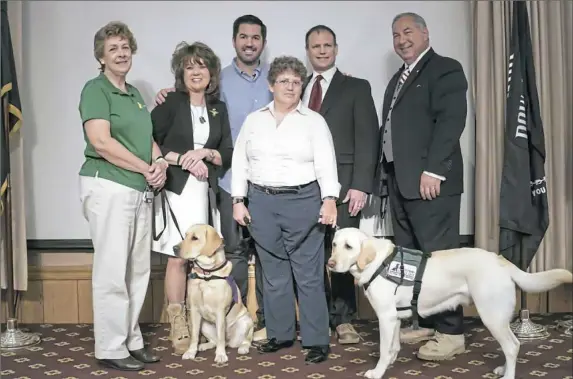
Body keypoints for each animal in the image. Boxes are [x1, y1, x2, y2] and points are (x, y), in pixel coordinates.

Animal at [173, 224, 254, 364]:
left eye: (195, 238)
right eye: (185, 235)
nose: (174, 248)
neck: (206, 274)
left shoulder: (220, 312)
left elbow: (221, 336)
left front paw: (221, 355)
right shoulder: (194, 310)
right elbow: (194, 335)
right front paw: (191, 352)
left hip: (245, 322)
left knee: (243, 341)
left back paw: (243, 348)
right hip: (205, 324)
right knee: (215, 341)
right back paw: (204, 345)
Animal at [326, 229, 572, 379]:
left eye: (349, 247)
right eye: (334, 244)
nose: (330, 264)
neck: (378, 262)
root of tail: (501, 260)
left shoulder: (385, 316)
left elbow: (383, 349)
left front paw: (378, 371)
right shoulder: (394, 317)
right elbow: (393, 347)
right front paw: (391, 362)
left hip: (491, 315)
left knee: (512, 346)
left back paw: (509, 375)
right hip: (498, 318)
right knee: (513, 345)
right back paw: (503, 368)